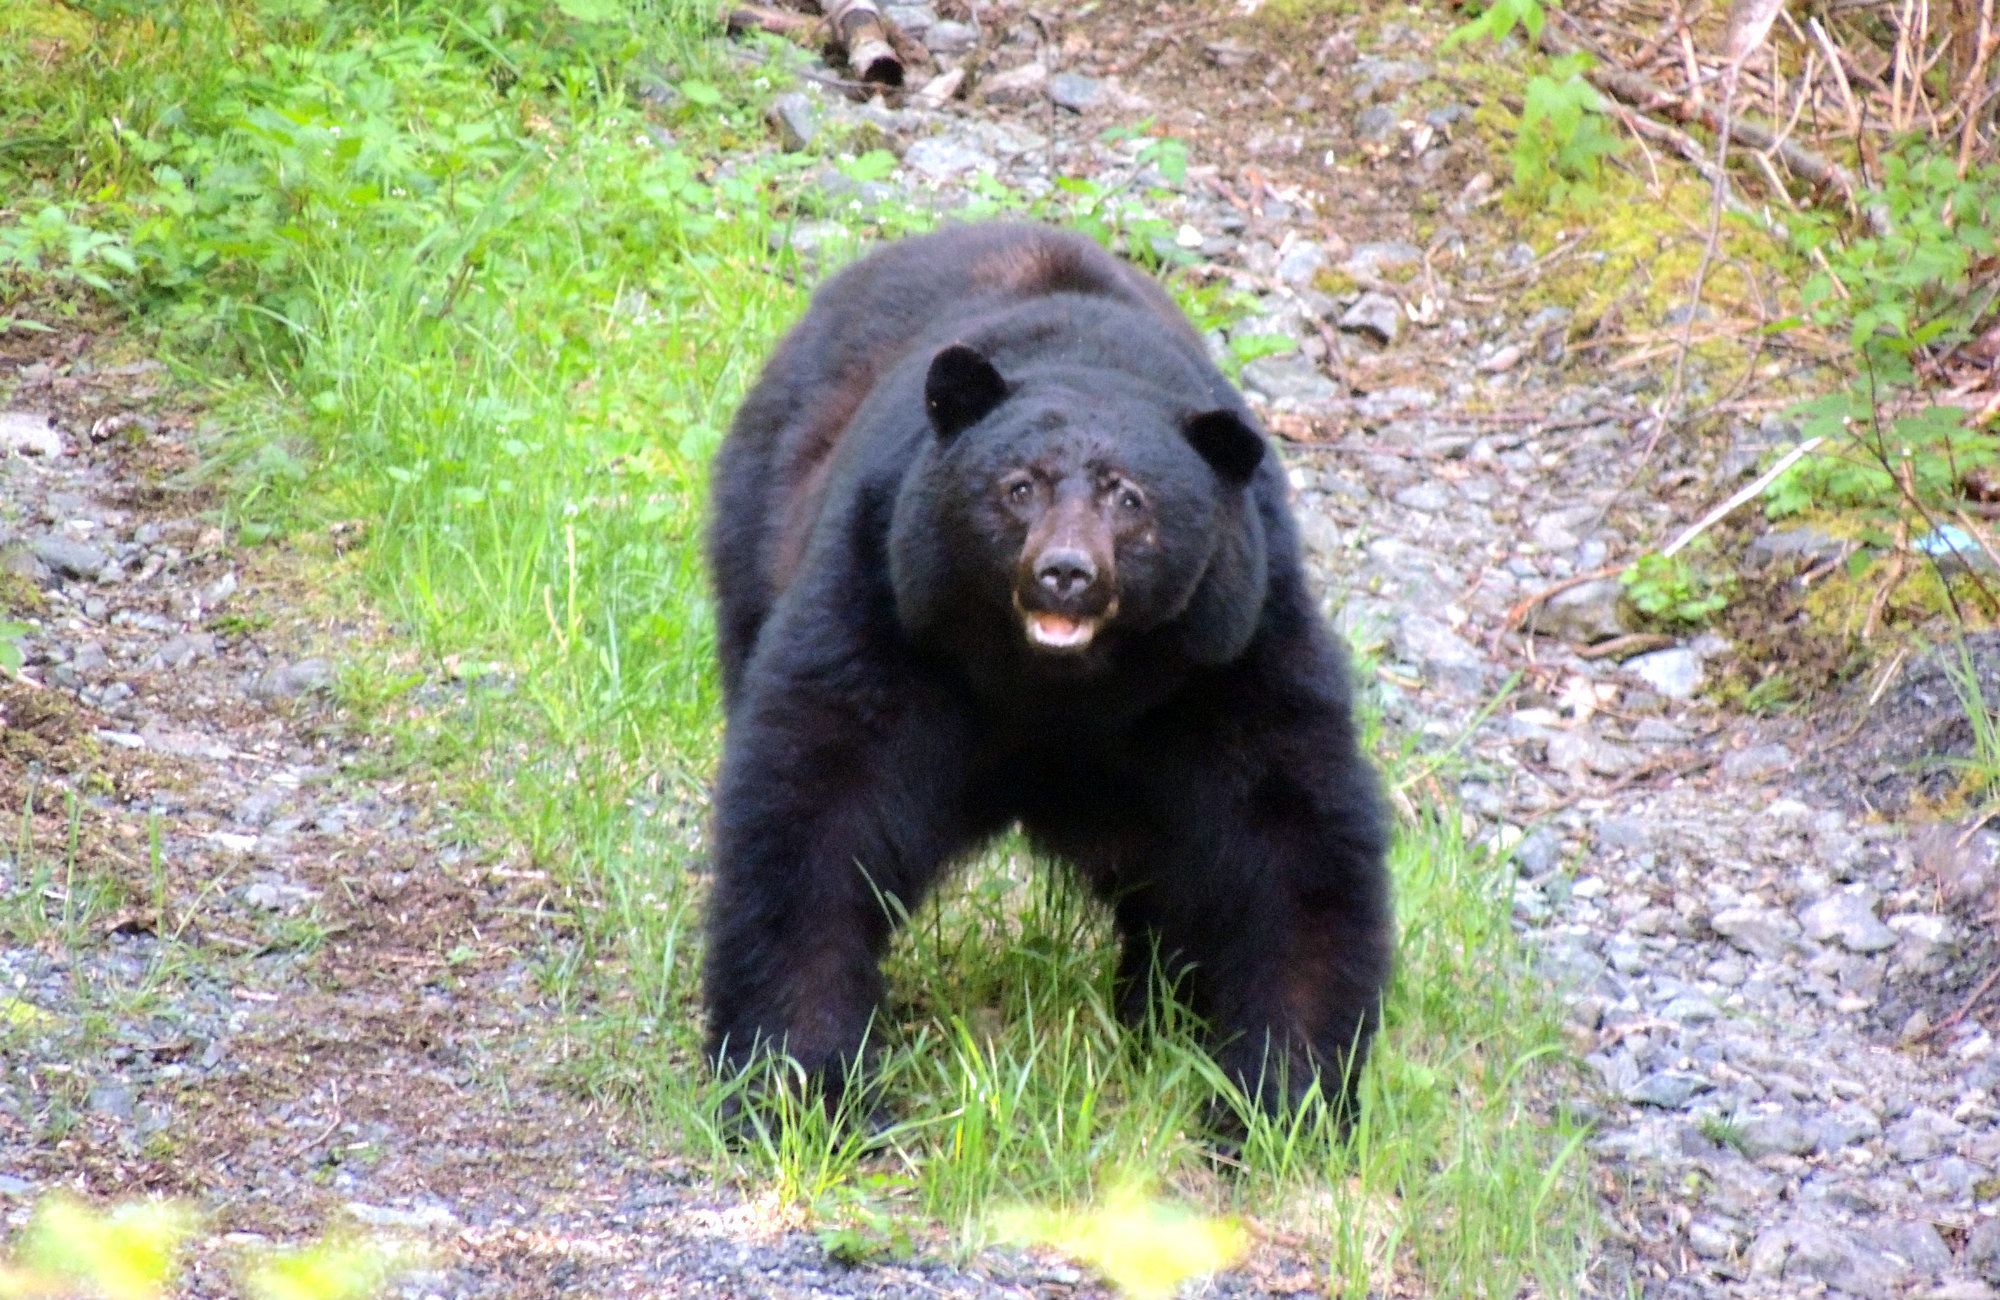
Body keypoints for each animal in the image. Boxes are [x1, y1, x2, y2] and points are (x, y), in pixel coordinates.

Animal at [704, 220, 1392, 1112]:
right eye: (1019, 486)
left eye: (1130, 500)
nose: (1066, 572)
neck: (1056, 688)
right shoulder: (887, 604)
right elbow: (819, 803)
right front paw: (804, 1081)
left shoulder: (1230, 648)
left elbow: (1288, 834)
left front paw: (1286, 1092)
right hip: (757, 534)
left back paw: (1157, 1012)